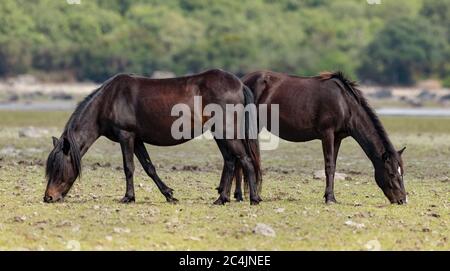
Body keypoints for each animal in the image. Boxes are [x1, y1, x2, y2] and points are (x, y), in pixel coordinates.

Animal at [44, 69, 262, 206]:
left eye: (58, 168)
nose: (48, 197)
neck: (108, 100)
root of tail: (239, 84)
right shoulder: (137, 139)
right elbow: (149, 167)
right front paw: (169, 195)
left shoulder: (126, 136)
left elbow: (129, 167)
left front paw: (128, 197)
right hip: (219, 132)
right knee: (230, 161)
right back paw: (221, 199)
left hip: (227, 131)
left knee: (244, 159)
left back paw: (253, 199)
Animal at [227, 71, 406, 205]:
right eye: (391, 174)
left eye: (401, 172)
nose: (402, 200)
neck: (345, 104)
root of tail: (242, 82)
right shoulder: (327, 134)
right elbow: (328, 166)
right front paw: (329, 198)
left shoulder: (338, 138)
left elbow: (333, 166)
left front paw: (331, 196)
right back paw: (240, 195)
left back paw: (238, 195)